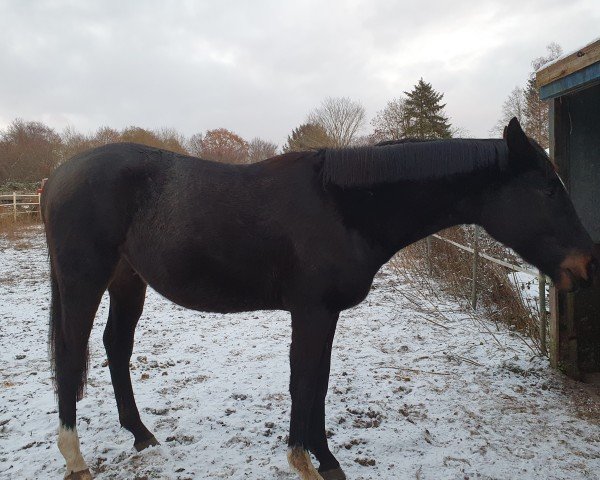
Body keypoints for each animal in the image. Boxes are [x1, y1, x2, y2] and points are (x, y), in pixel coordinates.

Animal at [42, 117, 596, 480]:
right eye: (548, 189)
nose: (586, 265)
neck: (341, 205)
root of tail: (58, 176)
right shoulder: (312, 312)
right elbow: (306, 381)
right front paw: (308, 461)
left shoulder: (322, 315)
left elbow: (318, 383)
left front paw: (321, 459)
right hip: (83, 278)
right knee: (71, 353)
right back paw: (74, 457)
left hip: (127, 281)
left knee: (116, 347)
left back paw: (141, 435)